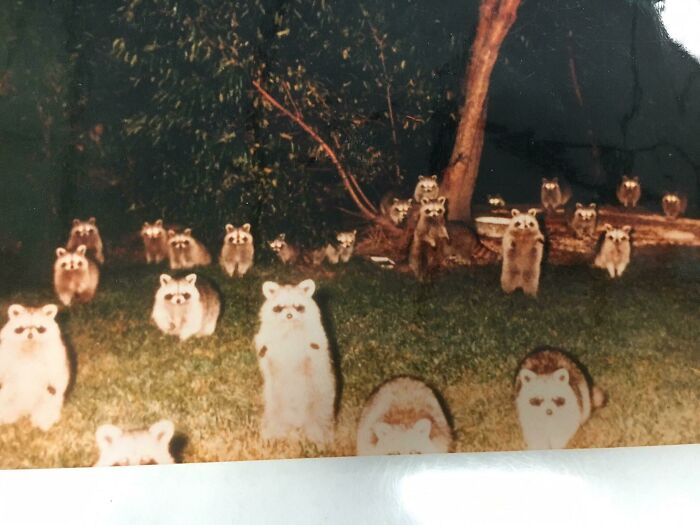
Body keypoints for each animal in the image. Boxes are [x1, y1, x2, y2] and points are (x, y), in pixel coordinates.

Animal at [254, 279, 335, 447]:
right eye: (279, 307)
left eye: (298, 307)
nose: (289, 315)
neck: (289, 328)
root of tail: (295, 427)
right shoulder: (265, 339)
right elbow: (265, 350)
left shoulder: (316, 339)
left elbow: (316, 351)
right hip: (272, 406)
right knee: (272, 421)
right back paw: (271, 436)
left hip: (320, 403)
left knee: (320, 420)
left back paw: (320, 440)